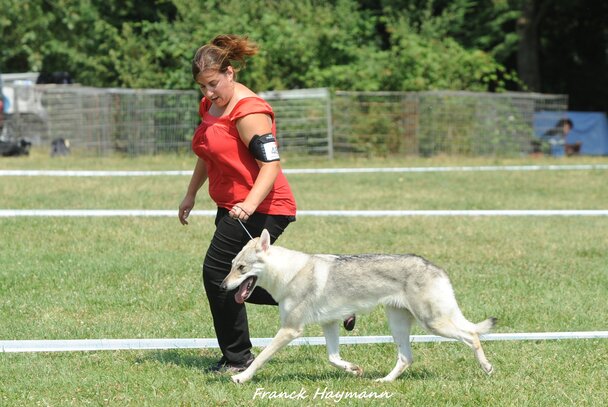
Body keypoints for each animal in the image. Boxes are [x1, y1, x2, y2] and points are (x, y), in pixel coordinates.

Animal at [221, 231, 496, 384]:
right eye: (231, 265)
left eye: (242, 268)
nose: (222, 286)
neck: (289, 274)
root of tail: (435, 267)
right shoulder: (329, 324)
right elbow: (333, 358)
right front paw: (354, 370)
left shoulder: (290, 330)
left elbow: (261, 358)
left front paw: (241, 377)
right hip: (399, 325)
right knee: (406, 358)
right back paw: (384, 381)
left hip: (433, 323)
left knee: (472, 335)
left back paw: (487, 368)